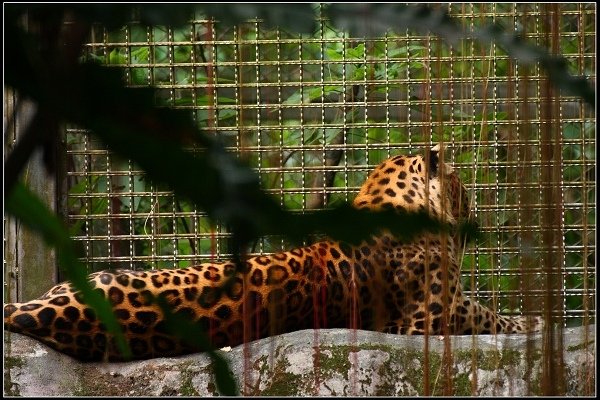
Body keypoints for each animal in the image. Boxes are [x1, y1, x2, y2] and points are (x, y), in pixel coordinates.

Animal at [3, 145, 540, 360]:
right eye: (461, 185)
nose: (476, 209)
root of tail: (34, 307)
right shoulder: (430, 314)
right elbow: (489, 315)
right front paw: (533, 321)